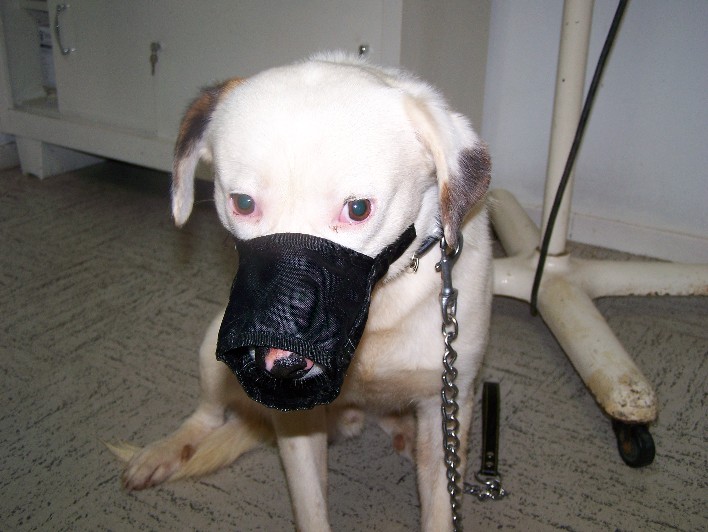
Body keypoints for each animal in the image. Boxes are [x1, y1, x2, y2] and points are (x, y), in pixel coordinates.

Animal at [111, 52, 492, 531]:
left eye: (358, 209)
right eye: (242, 202)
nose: (282, 365)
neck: (379, 308)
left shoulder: (447, 404)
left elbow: (441, 504)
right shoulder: (295, 425)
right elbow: (310, 507)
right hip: (211, 350)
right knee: (207, 416)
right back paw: (168, 449)